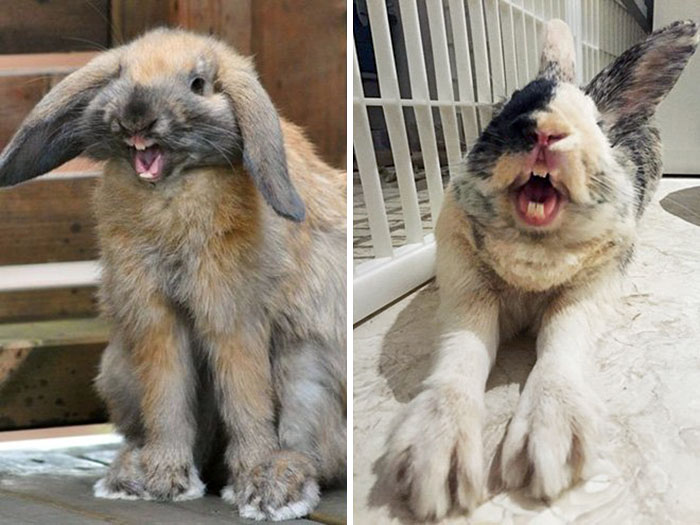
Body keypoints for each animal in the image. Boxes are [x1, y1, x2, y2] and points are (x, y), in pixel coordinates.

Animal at [0, 28, 346, 521]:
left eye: (198, 84)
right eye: (120, 75)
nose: (135, 117)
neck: (171, 190)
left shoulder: (231, 311)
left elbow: (245, 394)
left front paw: (252, 477)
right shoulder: (153, 317)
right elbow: (166, 395)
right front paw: (164, 479)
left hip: (307, 368)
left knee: (316, 448)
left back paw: (276, 486)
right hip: (118, 369)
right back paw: (129, 473)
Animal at [380, 19, 698, 521]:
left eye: (595, 124)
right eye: (506, 110)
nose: (545, 130)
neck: (535, 254)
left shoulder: (589, 293)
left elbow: (560, 342)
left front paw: (550, 443)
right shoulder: (466, 288)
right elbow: (463, 349)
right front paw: (436, 457)